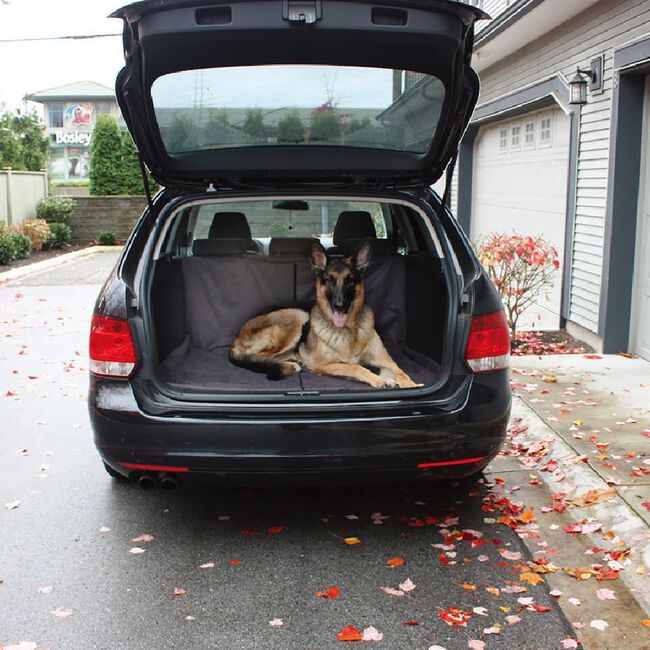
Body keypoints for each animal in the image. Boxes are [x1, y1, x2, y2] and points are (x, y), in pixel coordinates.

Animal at [229, 239, 420, 388]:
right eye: (329, 280)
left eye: (350, 280)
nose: (339, 305)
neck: (349, 330)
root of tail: (238, 336)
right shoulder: (324, 364)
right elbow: (356, 367)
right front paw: (380, 381)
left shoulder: (386, 362)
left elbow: (401, 372)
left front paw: (409, 384)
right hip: (297, 316)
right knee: (253, 357)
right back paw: (289, 365)